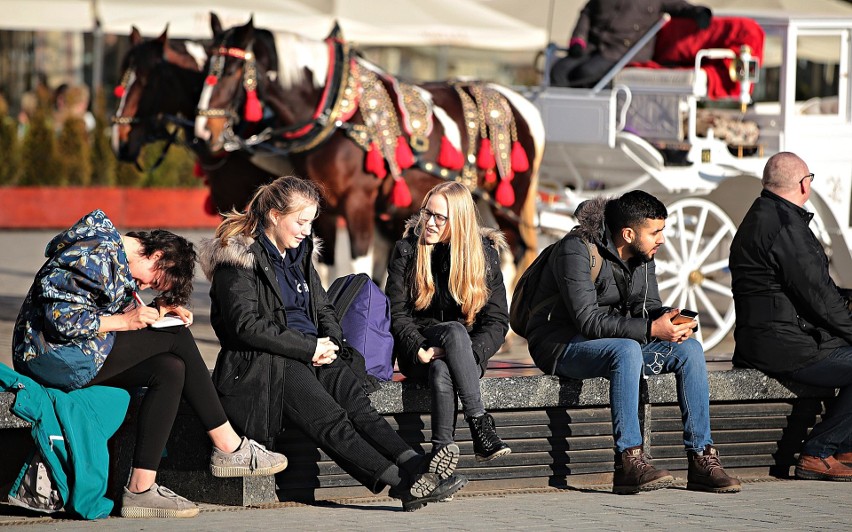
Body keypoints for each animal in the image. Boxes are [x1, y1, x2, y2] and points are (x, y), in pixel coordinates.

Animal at [194, 16, 544, 278]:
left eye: (230, 71)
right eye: (204, 67)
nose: (202, 133)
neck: (337, 110)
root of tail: (521, 104)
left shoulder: (358, 202)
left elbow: (358, 266)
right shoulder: (325, 207)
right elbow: (322, 263)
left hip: (510, 200)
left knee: (516, 248)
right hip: (480, 197)